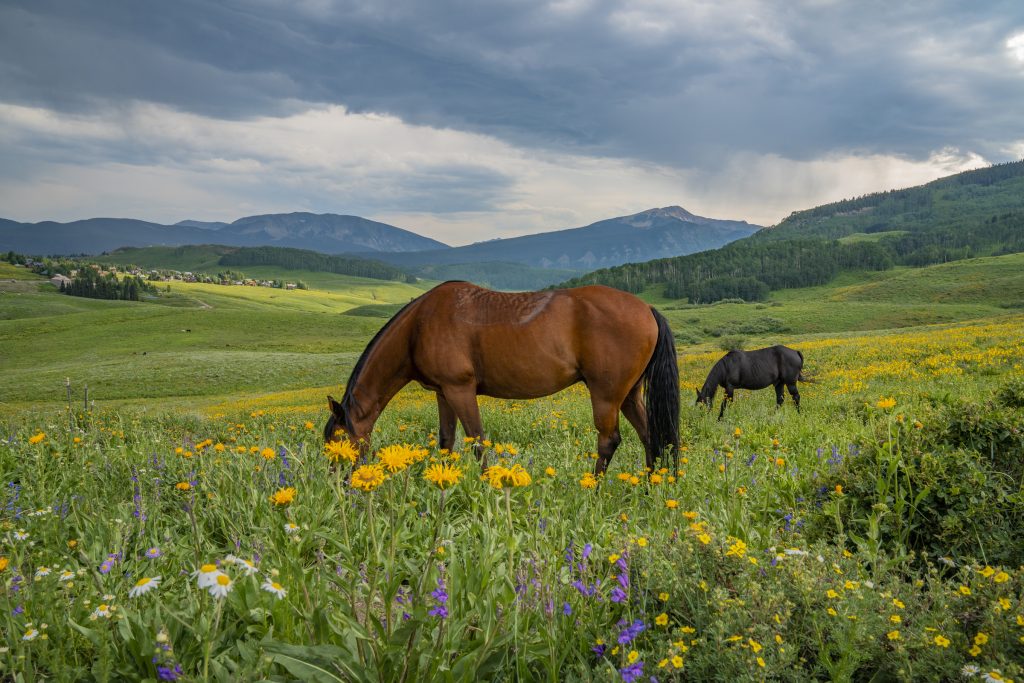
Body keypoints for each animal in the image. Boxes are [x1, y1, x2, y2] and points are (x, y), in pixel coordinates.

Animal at [323, 281, 680, 475]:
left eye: (338, 442)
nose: (339, 486)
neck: (419, 326)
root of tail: (647, 309)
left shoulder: (460, 390)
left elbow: (477, 442)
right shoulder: (443, 393)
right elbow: (446, 441)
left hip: (606, 395)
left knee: (609, 440)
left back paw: (593, 490)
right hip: (629, 394)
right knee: (651, 436)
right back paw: (650, 486)